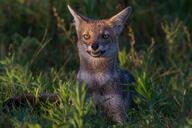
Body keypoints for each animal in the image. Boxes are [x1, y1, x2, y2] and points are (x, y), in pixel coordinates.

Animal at [2, 4, 136, 123]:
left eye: (105, 36)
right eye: (86, 36)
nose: (94, 46)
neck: (96, 81)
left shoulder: (118, 113)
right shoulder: (80, 108)